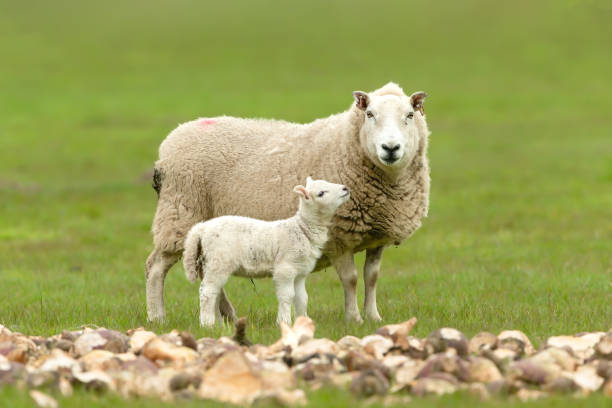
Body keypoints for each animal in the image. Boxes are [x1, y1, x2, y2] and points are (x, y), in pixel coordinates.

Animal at [182, 177, 350, 326]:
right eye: (321, 193)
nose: (345, 189)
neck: (302, 229)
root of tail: (202, 228)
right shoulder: (285, 268)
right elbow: (287, 296)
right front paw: (284, 322)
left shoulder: (300, 272)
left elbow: (302, 298)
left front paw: (304, 321)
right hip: (219, 261)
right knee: (207, 292)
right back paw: (207, 324)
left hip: (210, 263)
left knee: (214, 292)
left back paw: (218, 324)